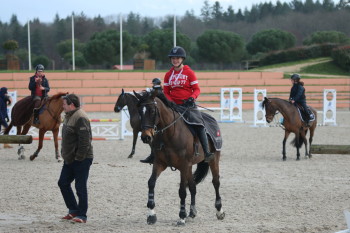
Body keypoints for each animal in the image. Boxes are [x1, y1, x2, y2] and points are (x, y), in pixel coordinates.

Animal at [133, 89, 226, 226]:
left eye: (152, 111)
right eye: (140, 111)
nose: (146, 137)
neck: (170, 134)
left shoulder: (183, 165)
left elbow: (182, 190)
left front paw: (181, 216)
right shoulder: (160, 163)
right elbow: (151, 183)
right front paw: (151, 215)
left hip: (213, 159)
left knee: (216, 182)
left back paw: (219, 211)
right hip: (190, 166)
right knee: (193, 186)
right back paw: (192, 212)